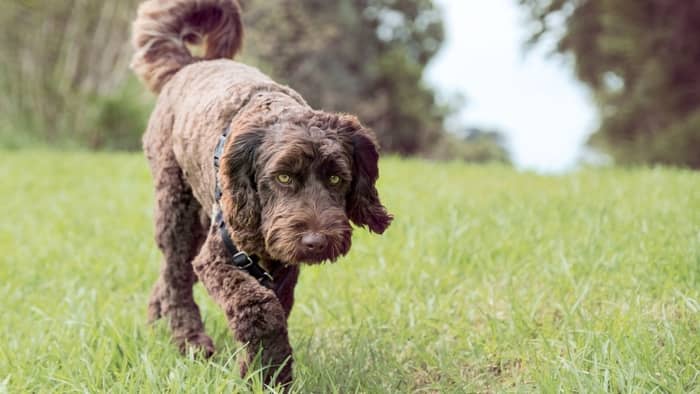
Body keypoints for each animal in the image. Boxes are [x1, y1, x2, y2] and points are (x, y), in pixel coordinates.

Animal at [131, 0, 394, 384]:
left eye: (336, 179)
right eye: (283, 177)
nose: (316, 242)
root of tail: (191, 64)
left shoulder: (283, 262)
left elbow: (277, 307)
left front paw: (259, 369)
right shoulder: (220, 257)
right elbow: (258, 307)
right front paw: (269, 376)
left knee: (171, 273)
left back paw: (155, 321)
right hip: (175, 204)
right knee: (176, 273)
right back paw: (190, 342)